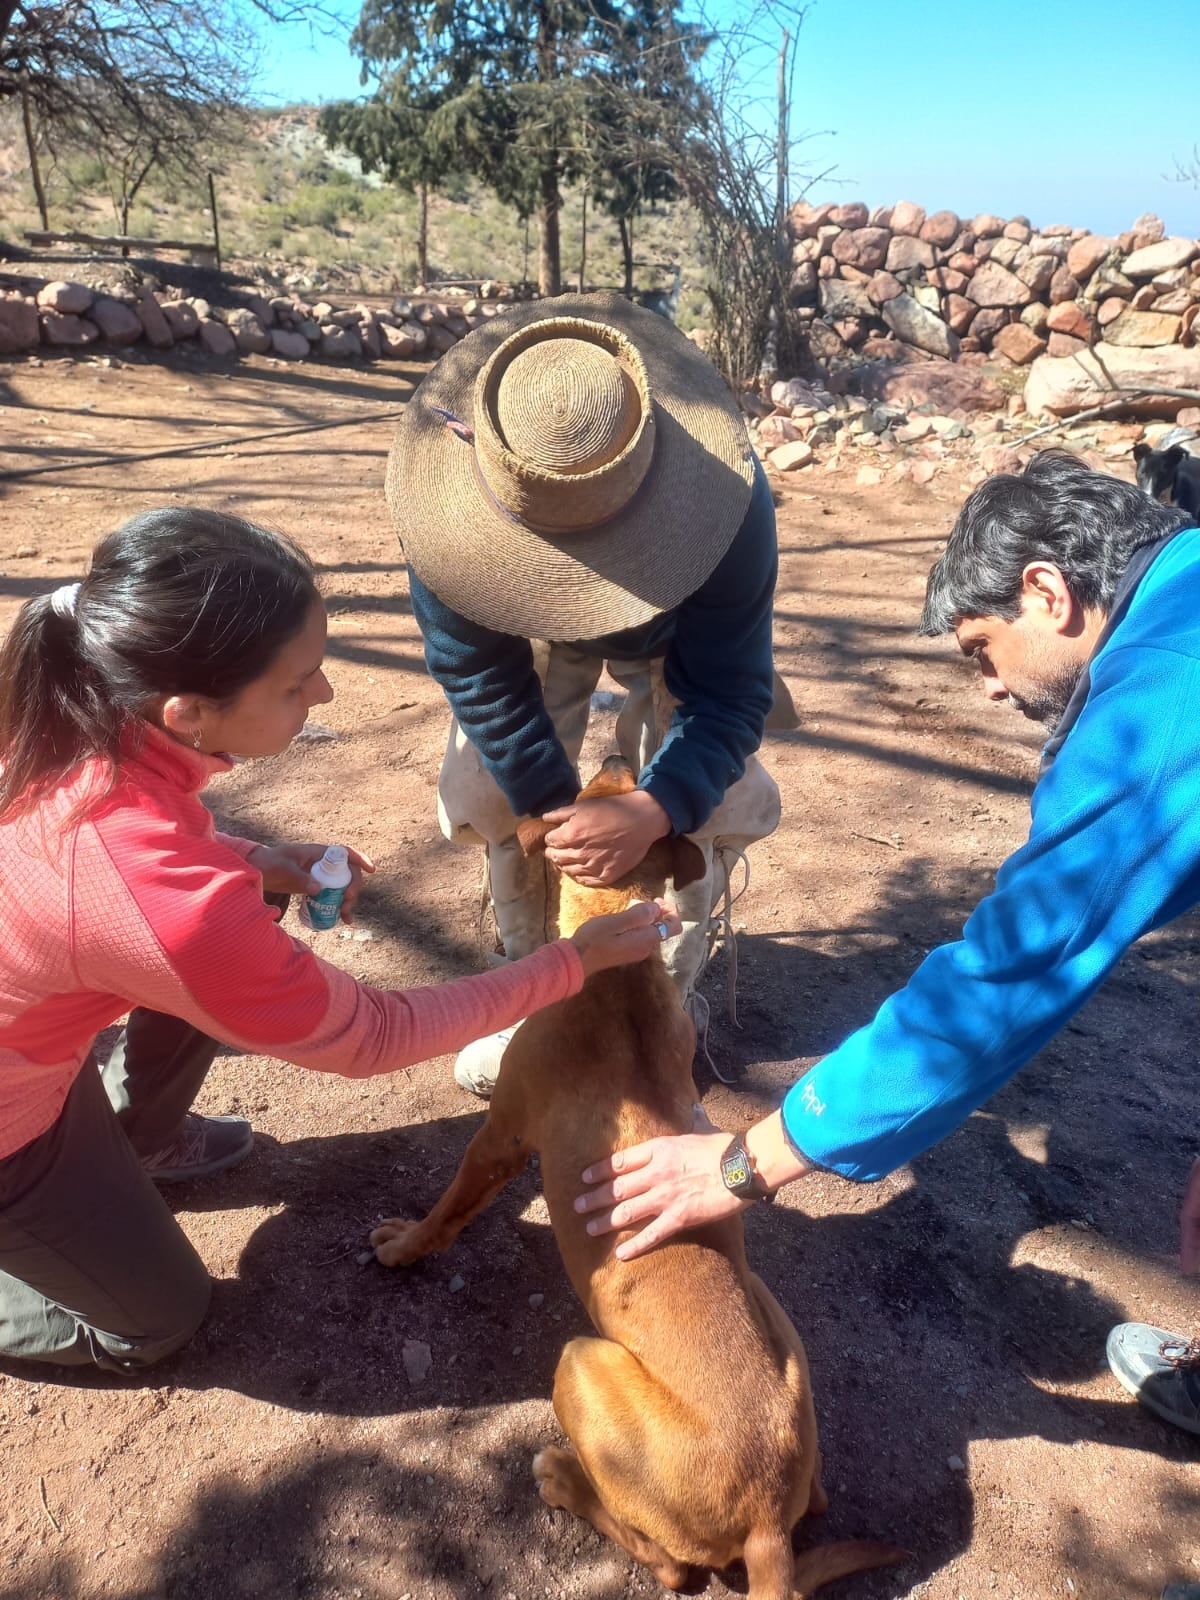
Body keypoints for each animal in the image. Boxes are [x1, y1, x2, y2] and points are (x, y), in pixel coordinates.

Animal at [371, 761, 908, 1600]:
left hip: (580, 1363)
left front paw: (403, 1246)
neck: (618, 962)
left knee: (669, 1566)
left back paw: (564, 1480)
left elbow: (451, 1205)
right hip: (775, 1333)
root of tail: (765, 1526)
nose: (624, 761)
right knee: (815, 1505)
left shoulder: (502, 1135)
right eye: (612, 781)